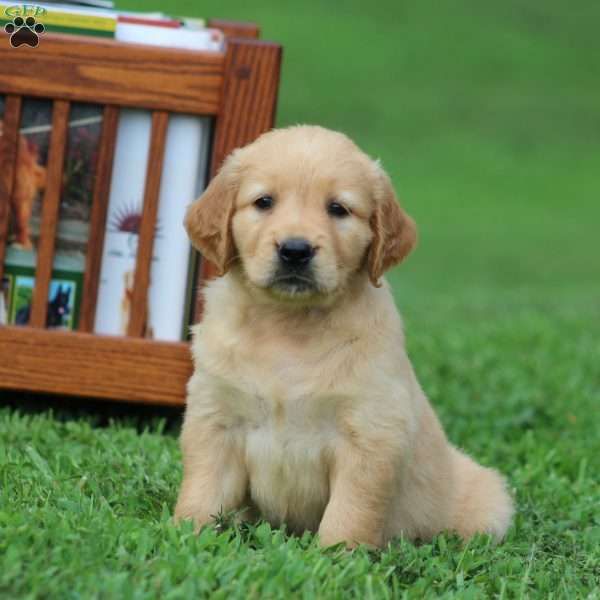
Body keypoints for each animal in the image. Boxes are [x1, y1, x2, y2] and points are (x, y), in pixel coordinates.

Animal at [173, 124, 510, 548]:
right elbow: (203, 490)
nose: (295, 250)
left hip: (488, 498)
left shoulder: (370, 433)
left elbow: (351, 510)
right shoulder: (215, 419)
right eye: (264, 202)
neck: (288, 324)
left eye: (338, 209)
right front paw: (187, 536)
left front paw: (337, 555)